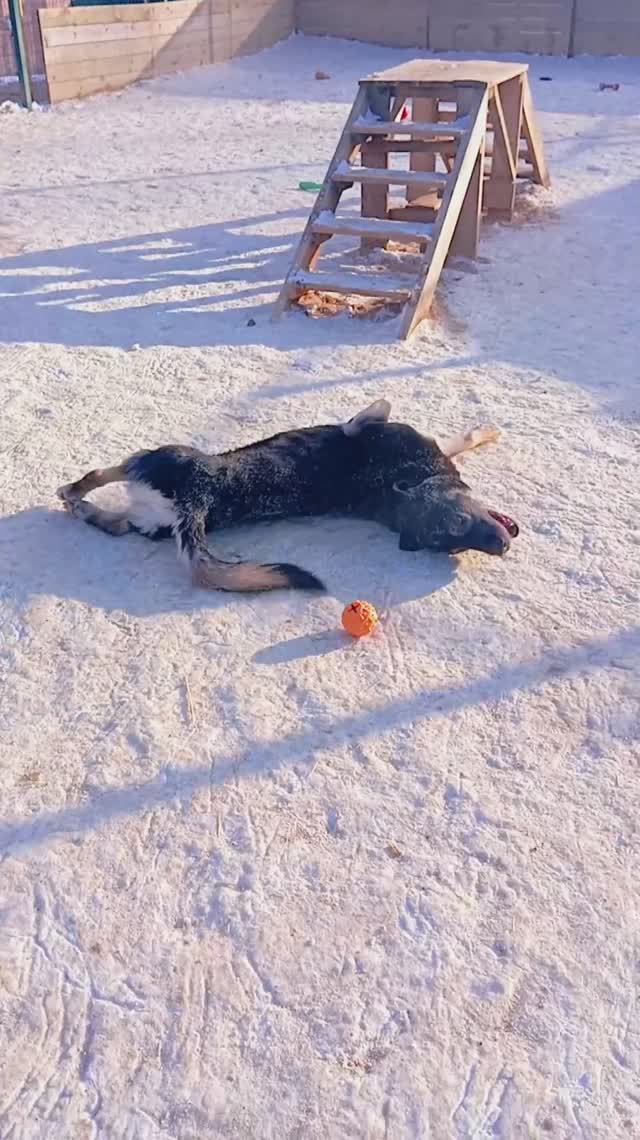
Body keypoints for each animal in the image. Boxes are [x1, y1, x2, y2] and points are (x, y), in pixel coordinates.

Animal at [53, 399, 513, 597]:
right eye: (455, 533)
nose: (502, 546)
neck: (399, 486)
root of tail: (199, 500)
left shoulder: (377, 421)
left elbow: (375, 409)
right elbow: (456, 438)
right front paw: (486, 432)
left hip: (152, 457)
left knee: (96, 479)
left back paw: (72, 495)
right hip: (146, 499)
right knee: (110, 521)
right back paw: (80, 505)